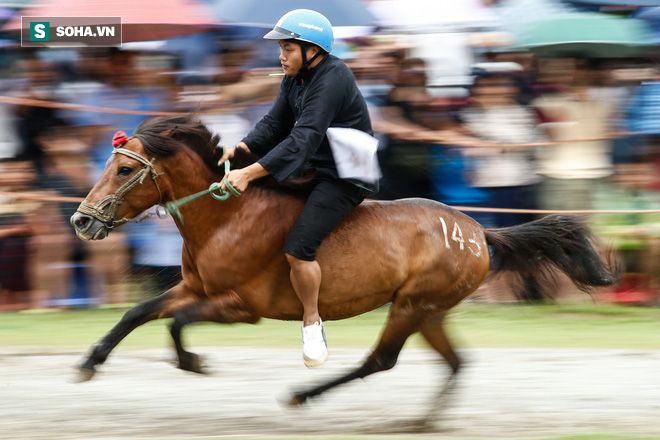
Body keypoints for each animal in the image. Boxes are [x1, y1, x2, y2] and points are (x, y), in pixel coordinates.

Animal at [69, 115, 616, 414]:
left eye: (123, 169)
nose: (81, 219)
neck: (227, 217)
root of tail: (480, 232)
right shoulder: (196, 289)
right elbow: (137, 313)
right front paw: (89, 363)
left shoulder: (241, 306)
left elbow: (177, 324)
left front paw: (193, 362)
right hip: (429, 309)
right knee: (455, 362)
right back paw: (423, 422)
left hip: (412, 306)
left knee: (380, 361)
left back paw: (305, 394)